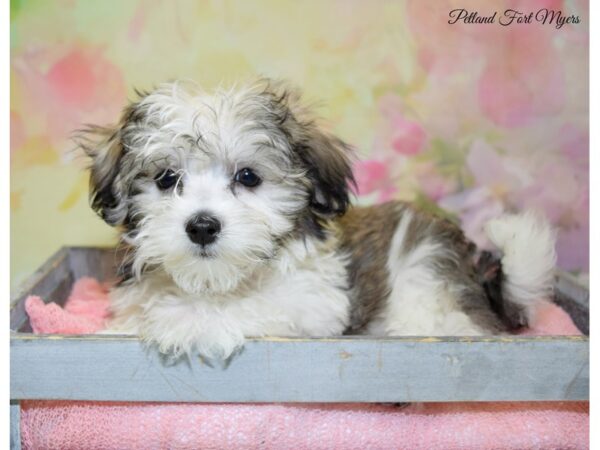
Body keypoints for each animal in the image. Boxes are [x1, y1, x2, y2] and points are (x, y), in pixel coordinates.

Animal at [76, 80, 556, 358]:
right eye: (166, 178)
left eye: (248, 177)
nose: (202, 225)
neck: (216, 281)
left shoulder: (314, 304)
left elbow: (252, 307)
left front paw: (180, 318)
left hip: (427, 285)